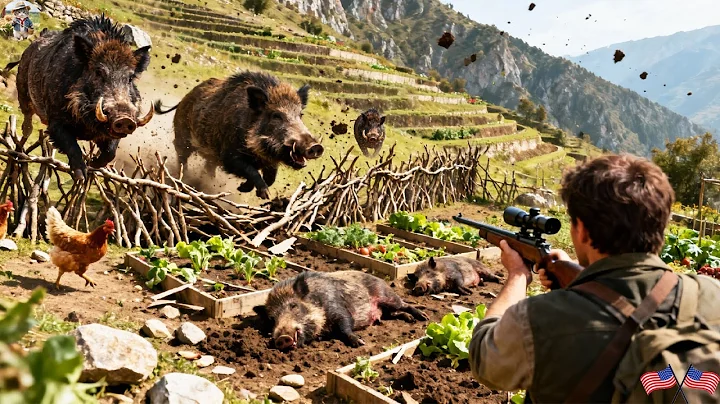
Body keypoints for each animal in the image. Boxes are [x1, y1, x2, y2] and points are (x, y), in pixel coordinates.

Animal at [11, 15, 154, 182]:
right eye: (98, 72)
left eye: (130, 78)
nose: (124, 118)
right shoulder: (55, 120)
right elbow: (71, 145)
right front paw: (80, 176)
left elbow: (111, 152)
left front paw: (93, 164)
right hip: (22, 88)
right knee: (27, 118)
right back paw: (24, 136)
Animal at [153, 71, 324, 200]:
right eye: (276, 116)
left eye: (300, 115)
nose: (315, 146)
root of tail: (184, 98)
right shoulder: (229, 157)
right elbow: (251, 170)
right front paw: (264, 195)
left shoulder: (270, 162)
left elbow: (271, 178)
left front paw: (246, 189)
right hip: (182, 136)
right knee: (182, 156)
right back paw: (184, 177)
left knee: (208, 167)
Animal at [254, 271, 428, 350]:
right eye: (272, 319)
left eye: (294, 306)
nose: (282, 337)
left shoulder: (339, 309)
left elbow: (345, 326)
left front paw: (360, 343)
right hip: (386, 311)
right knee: (394, 314)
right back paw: (410, 319)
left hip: (388, 297)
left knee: (405, 305)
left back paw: (423, 317)